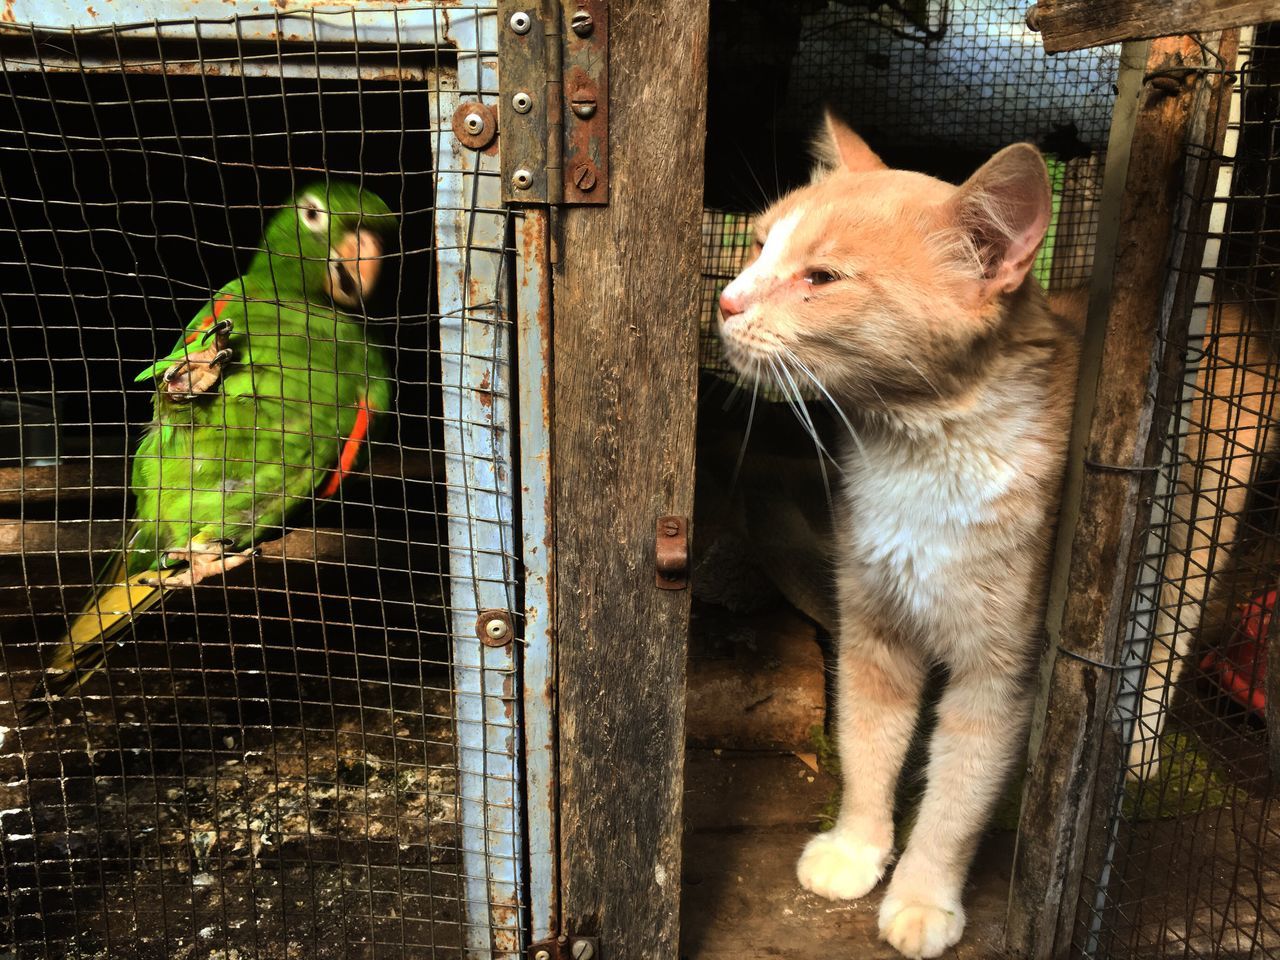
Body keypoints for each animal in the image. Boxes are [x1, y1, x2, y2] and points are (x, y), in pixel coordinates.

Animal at [721, 116, 1080, 957]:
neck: (918, 454)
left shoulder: (999, 675)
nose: (724, 300)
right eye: (759, 244)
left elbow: (955, 800)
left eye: (821, 278)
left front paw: (922, 897)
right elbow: (867, 748)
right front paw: (857, 849)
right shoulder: (871, 631)